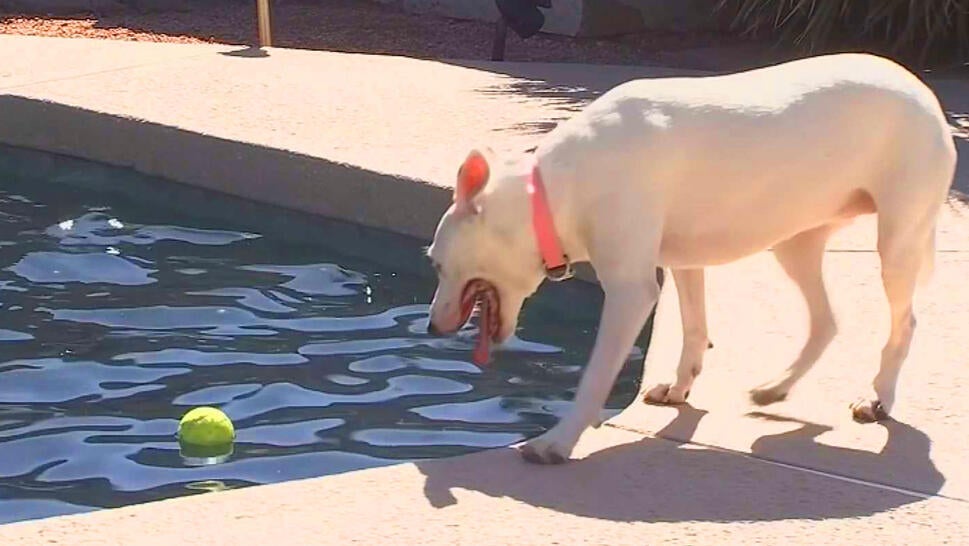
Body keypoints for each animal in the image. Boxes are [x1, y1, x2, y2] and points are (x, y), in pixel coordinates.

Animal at [424, 53, 952, 464]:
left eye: (435, 262)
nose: (429, 328)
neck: (553, 191)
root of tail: (925, 92)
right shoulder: (682, 261)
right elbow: (695, 329)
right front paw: (680, 389)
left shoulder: (631, 291)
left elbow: (595, 377)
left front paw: (558, 441)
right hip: (796, 243)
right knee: (826, 321)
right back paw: (776, 387)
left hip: (896, 242)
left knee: (904, 325)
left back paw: (877, 397)